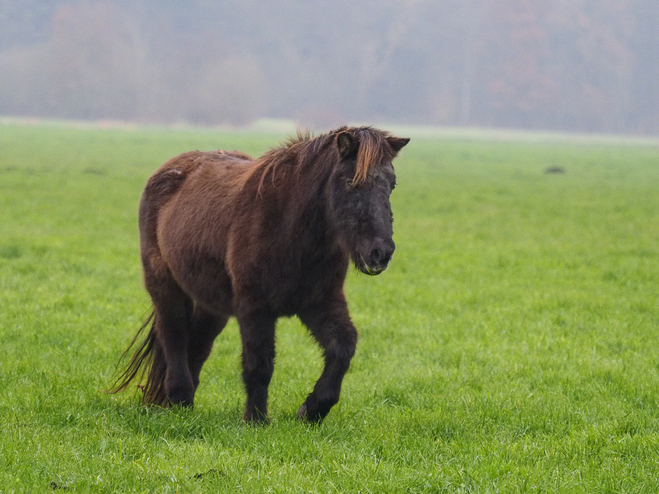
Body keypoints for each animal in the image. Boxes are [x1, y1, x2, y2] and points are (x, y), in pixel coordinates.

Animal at [111, 125, 410, 422]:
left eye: (392, 185)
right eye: (351, 183)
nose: (380, 253)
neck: (289, 228)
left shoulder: (320, 303)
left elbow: (343, 348)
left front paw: (312, 410)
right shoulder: (255, 308)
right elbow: (259, 364)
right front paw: (256, 419)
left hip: (213, 305)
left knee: (197, 344)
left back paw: (183, 404)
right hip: (165, 286)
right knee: (173, 335)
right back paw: (179, 397)